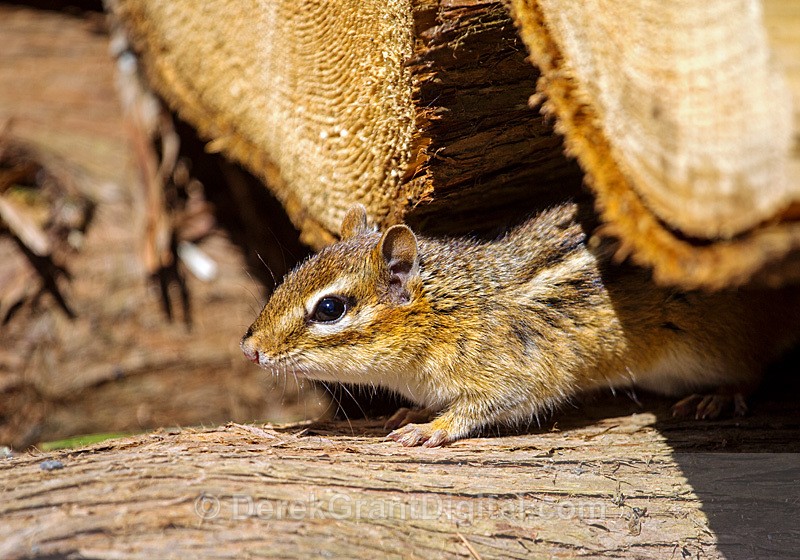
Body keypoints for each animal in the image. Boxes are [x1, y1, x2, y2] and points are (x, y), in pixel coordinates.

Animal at [241, 202, 800, 447]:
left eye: (329, 309)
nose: (250, 349)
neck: (448, 310)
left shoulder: (512, 371)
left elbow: (490, 405)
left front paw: (430, 428)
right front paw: (408, 412)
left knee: (750, 372)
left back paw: (718, 396)